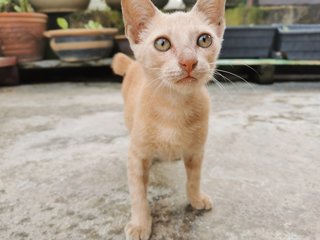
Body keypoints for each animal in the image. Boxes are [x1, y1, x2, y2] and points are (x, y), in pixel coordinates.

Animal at [112, 0, 225, 238]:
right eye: (162, 43)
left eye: (204, 39)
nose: (189, 61)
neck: (174, 108)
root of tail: (133, 64)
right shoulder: (136, 156)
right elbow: (138, 195)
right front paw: (140, 224)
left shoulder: (196, 151)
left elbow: (194, 178)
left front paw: (195, 198)